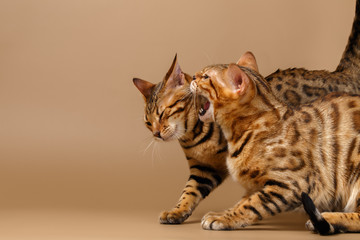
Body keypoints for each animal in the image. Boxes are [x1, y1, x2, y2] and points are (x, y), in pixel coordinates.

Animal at [191, 53, 360, 234]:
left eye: (206, 77)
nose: (193, 77)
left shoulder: (295, 184)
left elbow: (252, 205)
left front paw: (223, 218)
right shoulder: (255, 185)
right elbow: (242, 202)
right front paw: (224, 213)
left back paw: (327, 218)